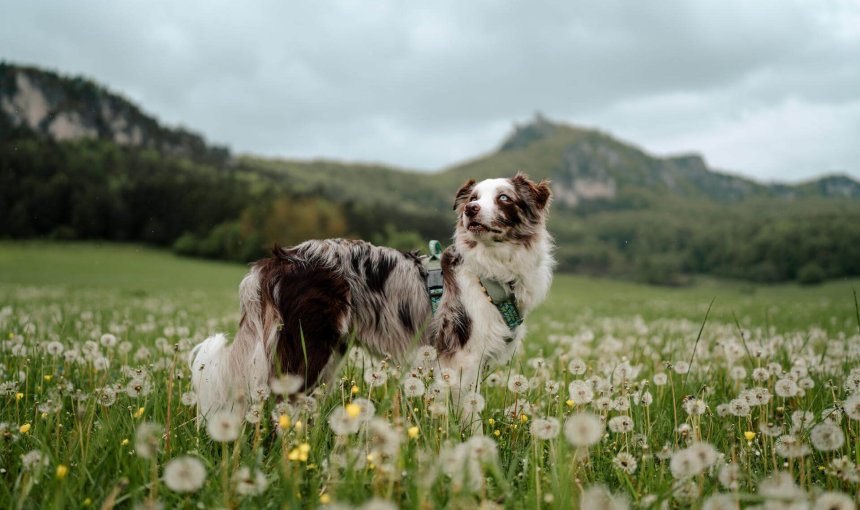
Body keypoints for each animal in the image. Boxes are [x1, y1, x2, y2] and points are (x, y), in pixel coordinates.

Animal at [191, 172, 556, 418]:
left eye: (504, 198)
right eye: (473, 198)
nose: (471, 210)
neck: (491, 269)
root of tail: (278, 260)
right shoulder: (462, 359)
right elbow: (469, 418)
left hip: (327, 353)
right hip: (307, 348)